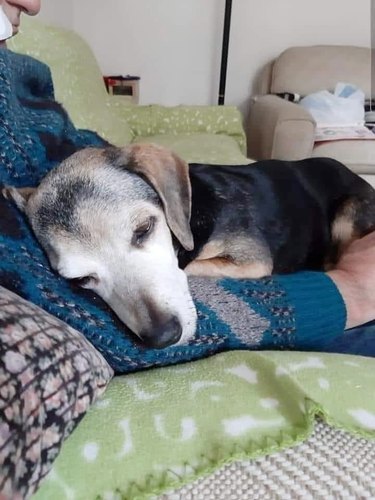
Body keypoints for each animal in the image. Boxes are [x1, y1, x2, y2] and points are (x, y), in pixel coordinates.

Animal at [2, 144, 375, 348]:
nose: (163, 336)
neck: (195, 209)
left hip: (348, 210)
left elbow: (189, 264)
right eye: (81, 280)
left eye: (143, 230)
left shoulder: (252, 260)